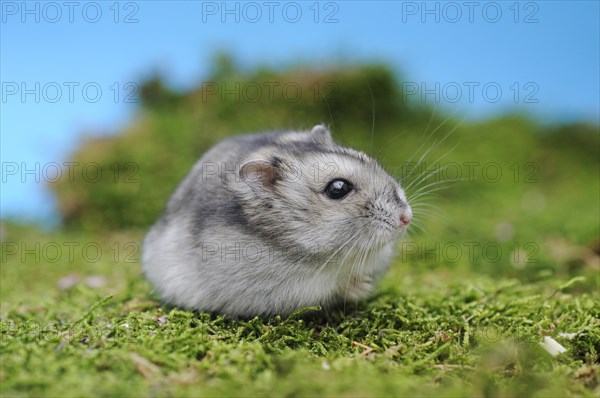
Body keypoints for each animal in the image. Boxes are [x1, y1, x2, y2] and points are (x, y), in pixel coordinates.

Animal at [142, 124, 412, 318]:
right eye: (338, 189)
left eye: (370, 161)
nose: (406, 218)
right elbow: (333, 289)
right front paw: (362, 287)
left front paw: (366, 283)